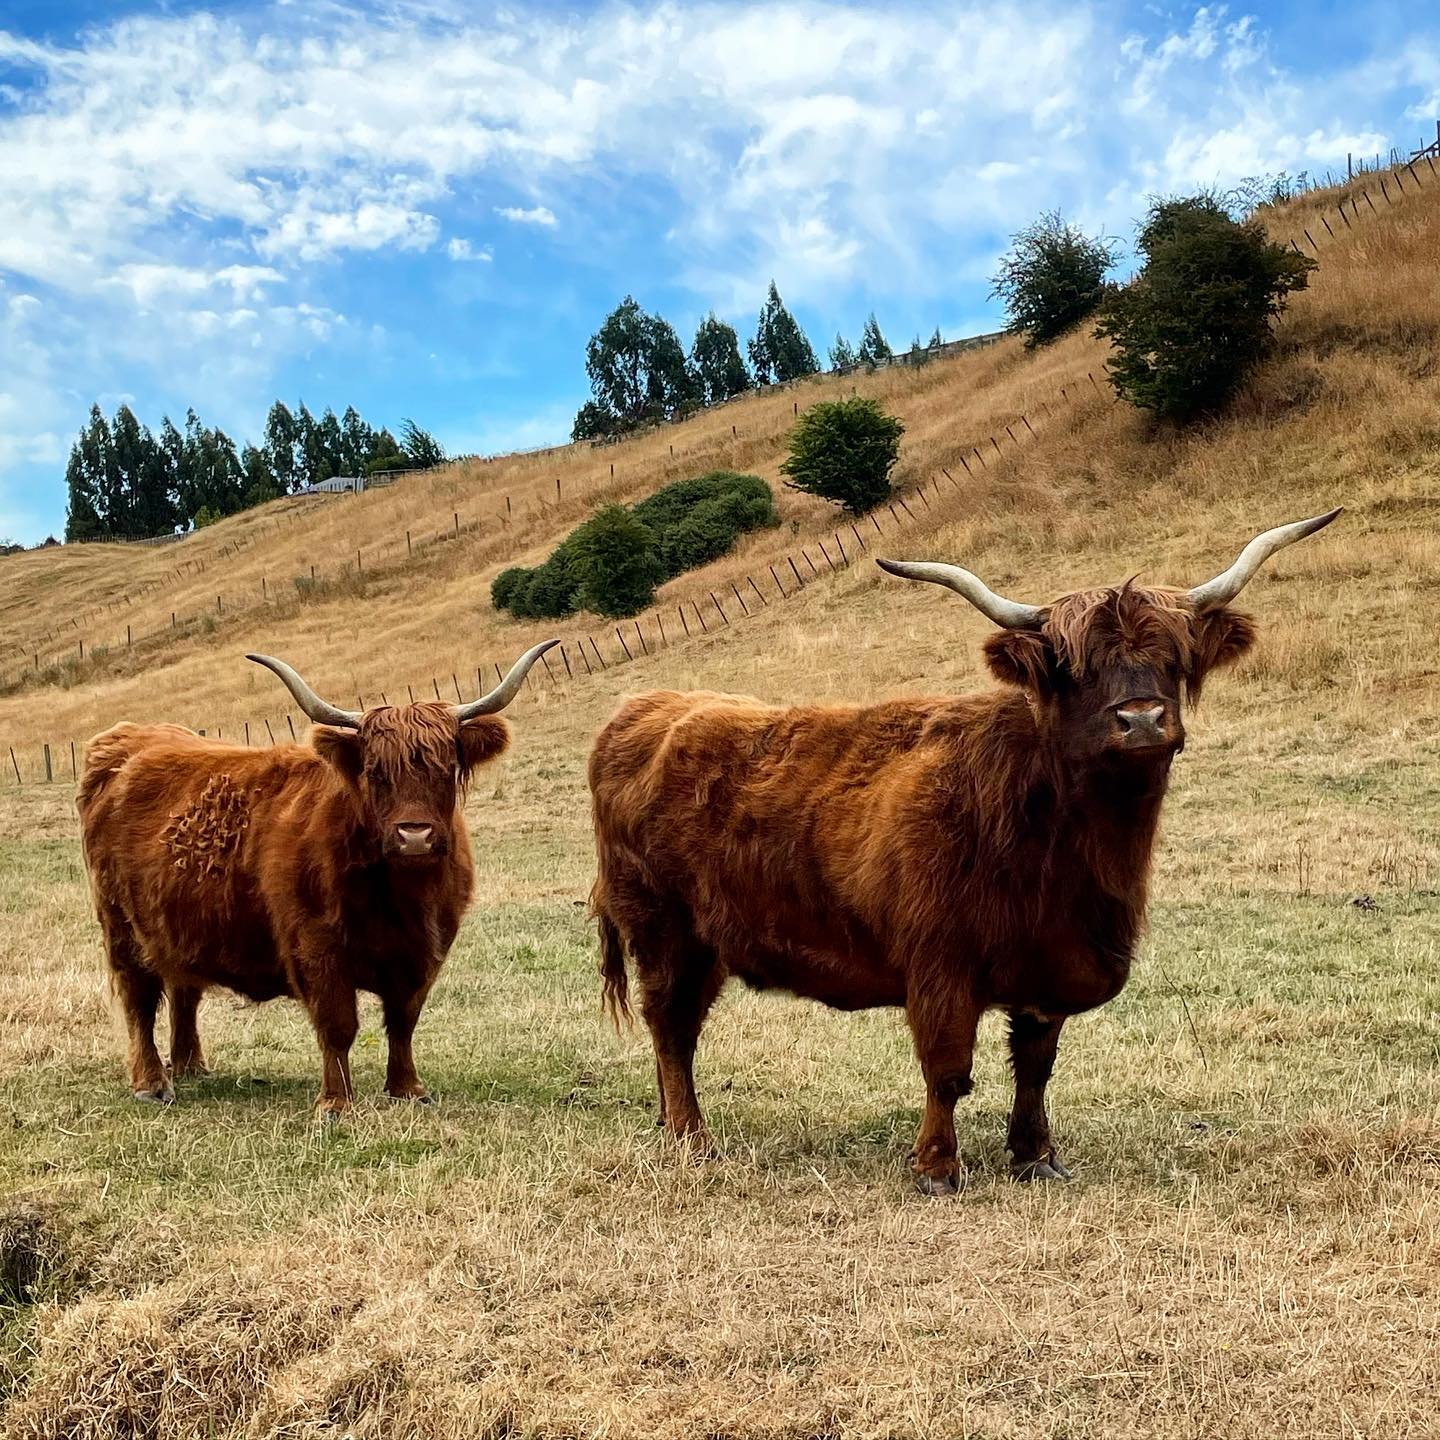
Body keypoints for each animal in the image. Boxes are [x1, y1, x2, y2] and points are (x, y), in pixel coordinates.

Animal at [73, 639, 558, 1111]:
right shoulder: (316, 945)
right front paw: (337, 1103)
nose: (415, 836)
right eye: (375, 773)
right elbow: (338, 1024)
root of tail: (126, 739)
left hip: (176, 925)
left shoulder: (425, 951)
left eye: (446, 768)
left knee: (183, 988)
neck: (401, 896)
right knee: (139, 999)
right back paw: (153, 1084)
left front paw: (408, 1090)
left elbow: (403, 1020)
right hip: (122, 927)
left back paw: (191, 1066)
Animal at [584, 512, 1336, 1186]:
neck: (1066, 844)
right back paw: (691, 1139)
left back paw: (668, 1123)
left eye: (1172, 659)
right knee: (670, 1026)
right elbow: (947, 1070)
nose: (1143, 719)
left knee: (675, 1031)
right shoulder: (939, 962)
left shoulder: (1048, 967)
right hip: (662, 930)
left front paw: (1035, 1156)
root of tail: (645, 708)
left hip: (703, 943)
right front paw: (937, 1167)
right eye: (1073, 668)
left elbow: (1035, 1066)